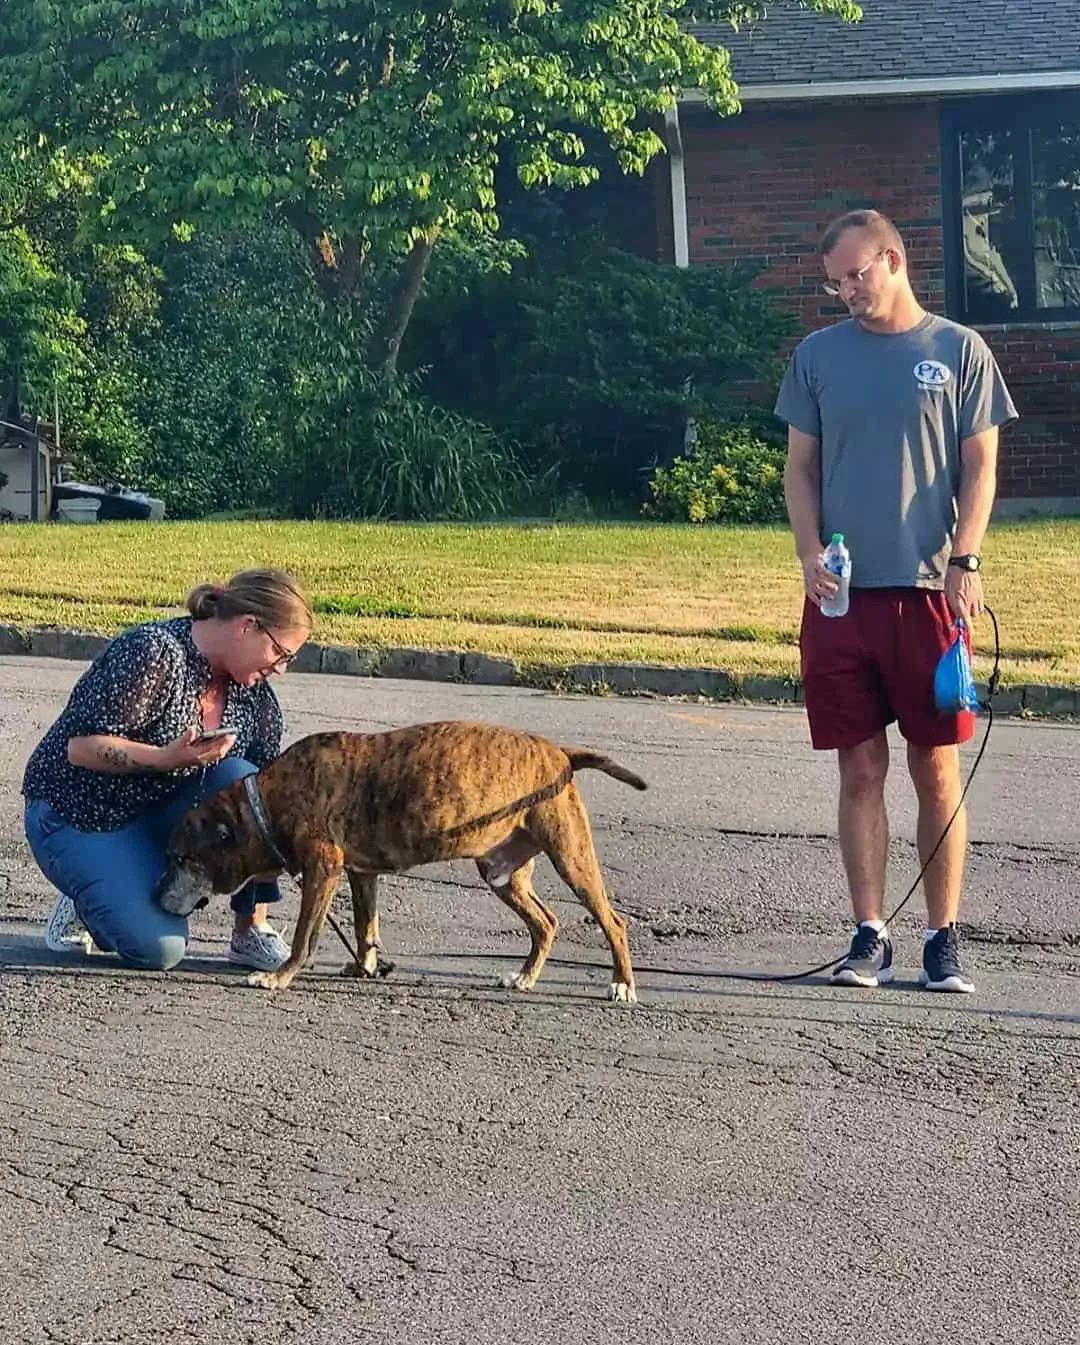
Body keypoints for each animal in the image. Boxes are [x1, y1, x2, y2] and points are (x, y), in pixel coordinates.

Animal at [155, 726, 645, 1000]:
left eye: (179, 858)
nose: (156, 896)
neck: (266, 803)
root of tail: (559, 753)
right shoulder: (361, 875)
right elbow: (364, 928)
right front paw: (365, 966)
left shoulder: (323, 869)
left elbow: (304, 936)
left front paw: (280, 977)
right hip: (502, 873)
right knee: (545, 922)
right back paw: (525, 976)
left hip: (571, 856)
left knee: (614, 922)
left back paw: (622, 984)